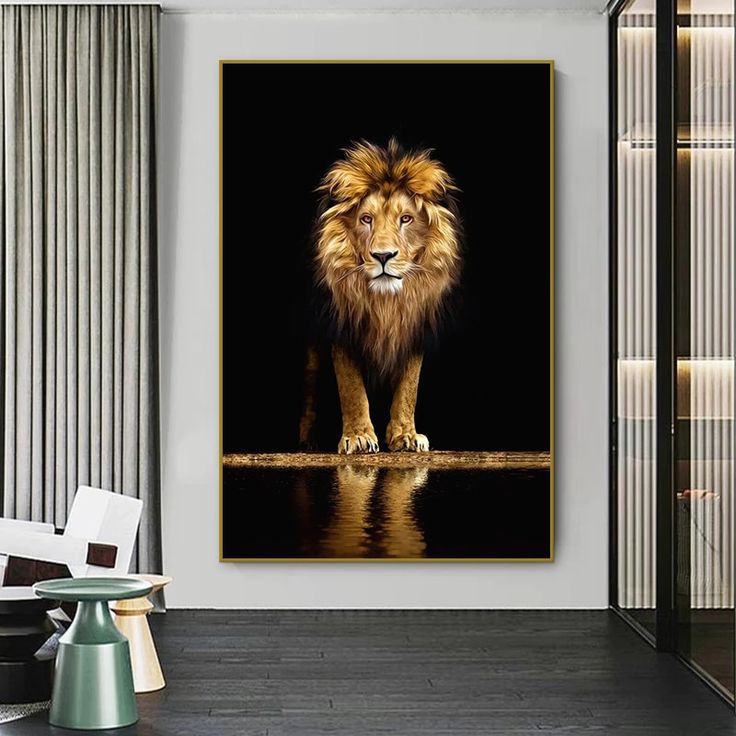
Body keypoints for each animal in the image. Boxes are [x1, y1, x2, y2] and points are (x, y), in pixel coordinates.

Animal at [300, 139, 462, 455]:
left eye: (406, 219)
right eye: (366, 219)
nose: (383, 256)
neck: (385, 302)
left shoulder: (414, 326)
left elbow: (409, 387)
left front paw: (406, 435)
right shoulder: (342, 327)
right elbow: (351, 387)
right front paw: (358, 437)